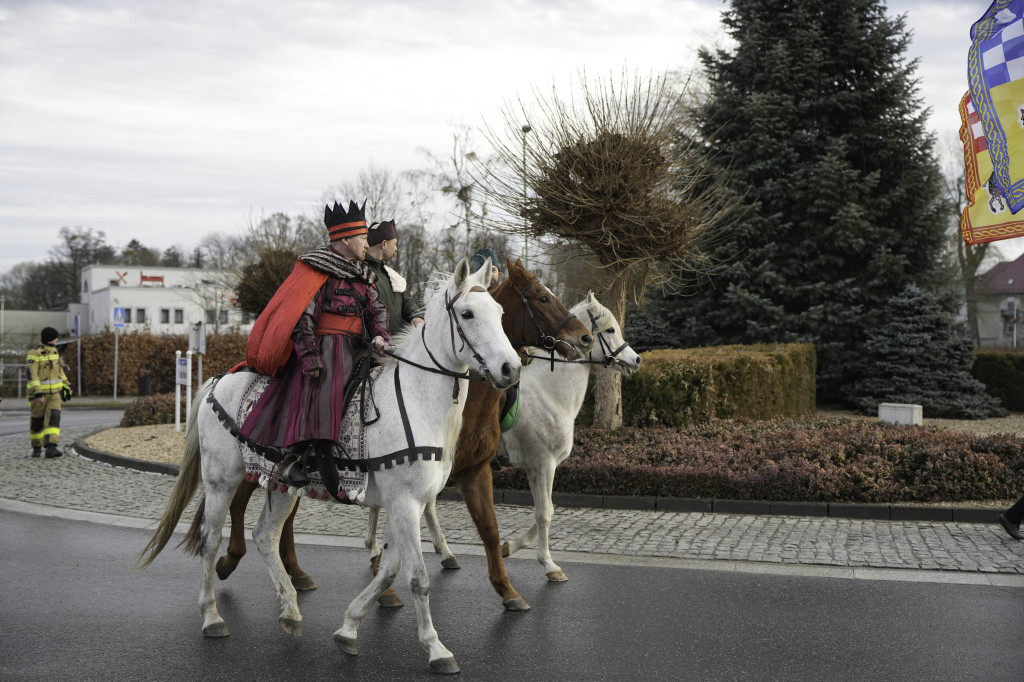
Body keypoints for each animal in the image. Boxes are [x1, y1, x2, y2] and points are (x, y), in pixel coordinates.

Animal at [136, 258, 520, 671]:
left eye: (500, 313)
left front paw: (349, 628)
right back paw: (211, 616)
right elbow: (418, 579)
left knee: (265, 535)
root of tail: (216, 381)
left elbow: (389, 571)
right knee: (210, 541)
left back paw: (290, 610)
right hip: (222, 480)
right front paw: (436, 648)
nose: (511, 369)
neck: (417, 400)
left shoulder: (407, 506)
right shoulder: (405, 504)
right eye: (467, 313)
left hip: (280, 485)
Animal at [214, 259, 593, 606]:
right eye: (542, 298)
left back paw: (292, 571)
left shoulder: (473, 469)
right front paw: (386, 580)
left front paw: (507, 588)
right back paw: (233, 560)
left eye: (500, 314)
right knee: (242, 504)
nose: (584, 338)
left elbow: (487, 526)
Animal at [368, 288, 638, 581]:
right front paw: (548, 564)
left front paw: (509, 547)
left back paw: (438, 553)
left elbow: (547, 509)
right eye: (610, 329)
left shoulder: (537, 467)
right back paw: (379, 550)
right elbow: (545, 513)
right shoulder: (543, 464)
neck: (550, 391)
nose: (636, 360)